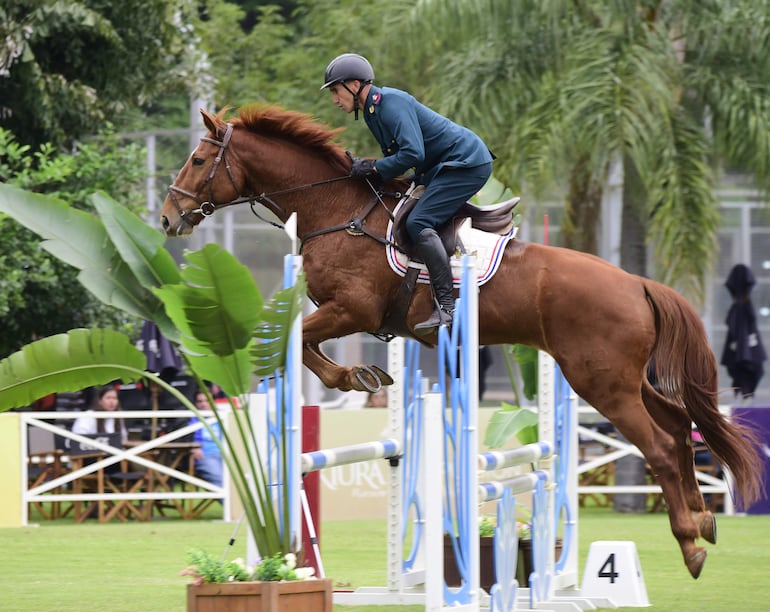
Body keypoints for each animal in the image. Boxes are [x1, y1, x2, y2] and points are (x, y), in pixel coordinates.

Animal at [159, 105, 760, 580]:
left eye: (197, 160)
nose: (167, 219)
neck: (338, 214)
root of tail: (637, 282)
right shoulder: (347, 315)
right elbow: (300, 341)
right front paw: (361, 376)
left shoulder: (352, 311)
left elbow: (296, 339)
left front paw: (351, 377)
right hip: (623, 378)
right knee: (679, 426)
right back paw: (704, 518)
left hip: (600, 383)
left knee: (658, 445)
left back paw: (690, 545)